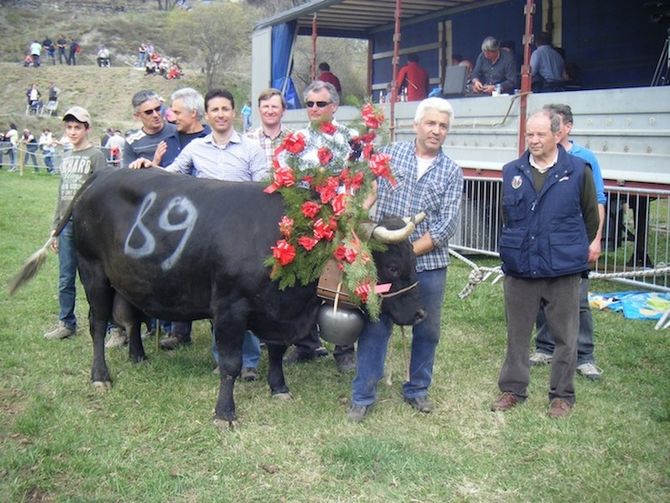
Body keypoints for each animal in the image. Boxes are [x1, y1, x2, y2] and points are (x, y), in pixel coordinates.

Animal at [13, 168, 428, 426]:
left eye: (413, 259)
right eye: (392, 268)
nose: (421, 314)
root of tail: (104, 173)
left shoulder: (276, 312)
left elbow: (276, 351)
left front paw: (279, 388)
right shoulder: (230, 308)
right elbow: (229, 363)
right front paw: (224, 413)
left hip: (130, 278)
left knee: (132, 317)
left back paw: (139, 356)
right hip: (93, 272)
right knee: (98, 324)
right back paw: (101, 376)